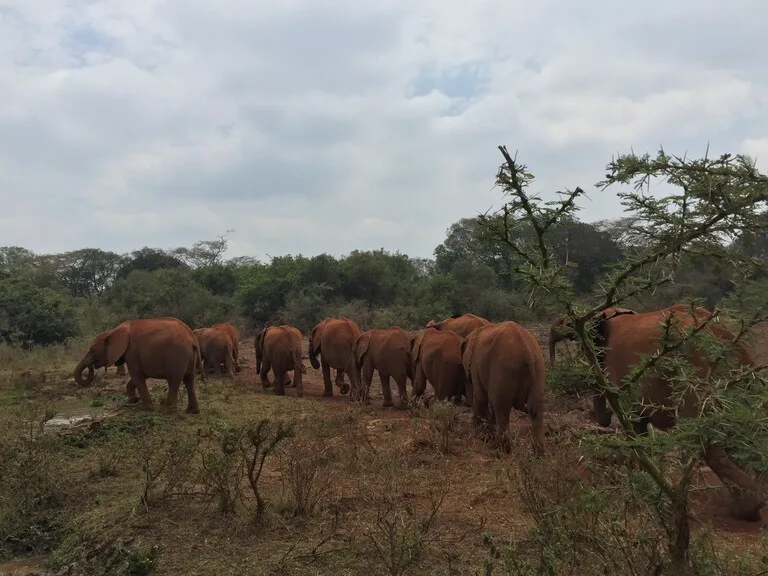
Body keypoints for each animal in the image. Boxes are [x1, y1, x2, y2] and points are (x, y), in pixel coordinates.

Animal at [72, 316, 202, 414]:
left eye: (92, 350)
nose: (91, 367)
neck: (112, 331)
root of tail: (192, 339)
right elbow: (138, 376)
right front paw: (134, 399)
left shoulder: (132, 352)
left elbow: (136, 375)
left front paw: (145, 408)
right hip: (190, 356)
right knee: (189, 380)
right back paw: (192, 411)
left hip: (177, 356)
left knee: (174, 381)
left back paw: (166, 411)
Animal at [460, 320, 544, 454]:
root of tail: (527, 351)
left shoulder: (475, 365)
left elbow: (480, 397)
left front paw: (482, 438)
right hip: (538, 367)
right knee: (536, 408)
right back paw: (538, 454)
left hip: (504, 368)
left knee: (501, 408)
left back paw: (500, 450)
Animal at [584, 306, 768, 520]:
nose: (606, 418)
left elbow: (634, 426)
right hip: (740, 377)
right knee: (744, 431)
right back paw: (752, 504)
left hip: (694, 373)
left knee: (706, 441)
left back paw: (746, 508)